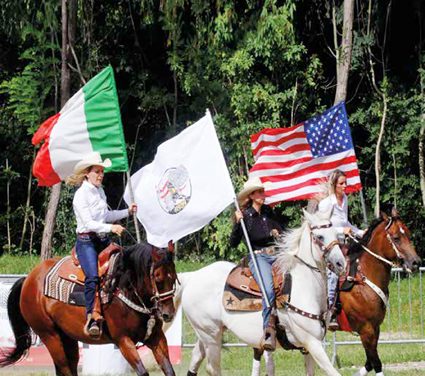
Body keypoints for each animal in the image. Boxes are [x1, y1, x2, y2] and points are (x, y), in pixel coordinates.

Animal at [0, 242, 177, 374]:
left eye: (174, 278)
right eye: (157, 278)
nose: (168, 314)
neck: (124, 287)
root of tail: (28, 279)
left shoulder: (156, 337)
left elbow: (169, 370)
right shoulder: (124, 341)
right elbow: (143, 371)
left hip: (67, 337)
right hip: (49, 335)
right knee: (64, 367)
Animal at [174, 209, 346, 376]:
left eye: (336, 234)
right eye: (319, 236)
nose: (340, 263)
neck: (303, 286)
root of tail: (193, 276)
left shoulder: (308, 348)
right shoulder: (312, 342)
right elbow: (332, 372)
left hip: (209, 333)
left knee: (196, 357)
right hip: (211, 335)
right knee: (213, 368)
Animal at [336, 209, 420, 376]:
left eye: (408, 234)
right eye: (396, 238)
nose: (415, 263)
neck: (362, 279)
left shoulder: (375, 328)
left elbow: (369, 362)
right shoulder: (366, 330)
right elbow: (376, 362)